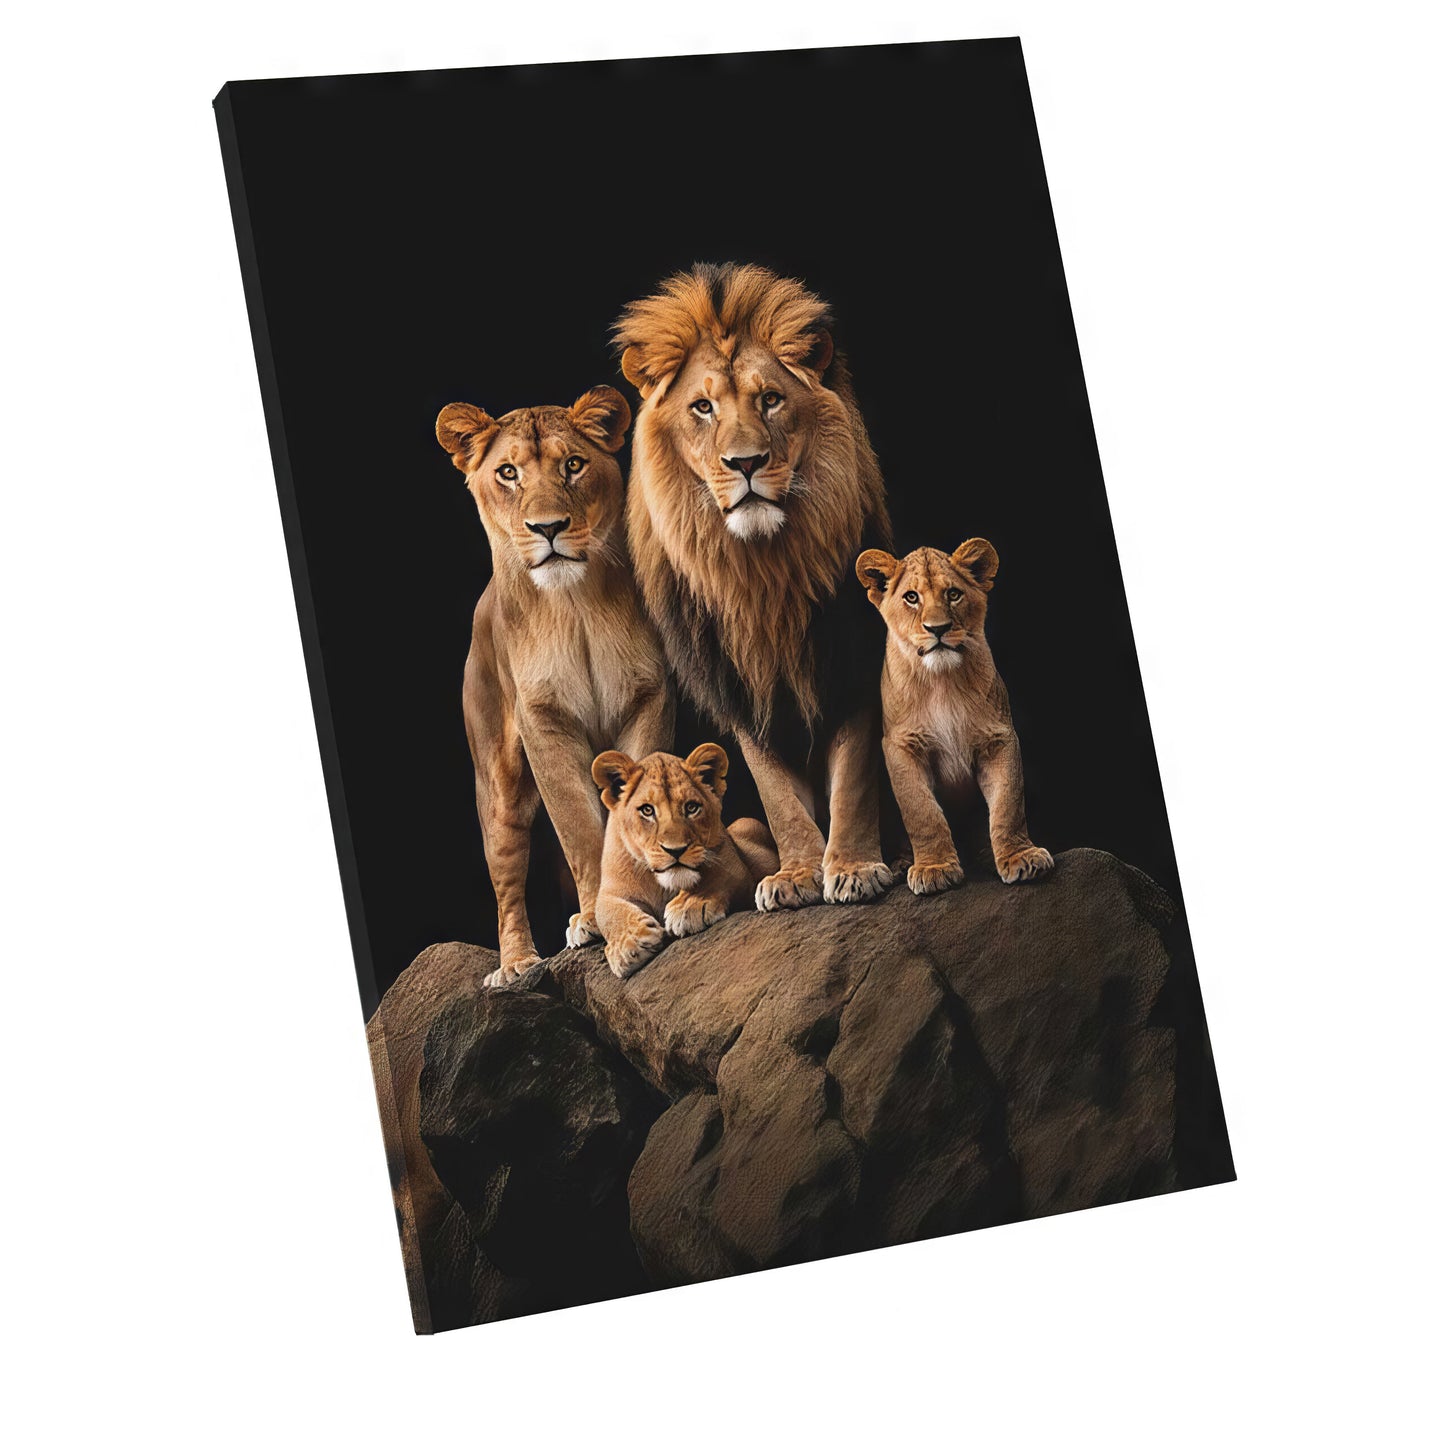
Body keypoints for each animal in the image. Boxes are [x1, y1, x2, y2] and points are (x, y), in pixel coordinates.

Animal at [436, 387, 674, 986]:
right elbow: (578, 826)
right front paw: (594, 919)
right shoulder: (545, 721)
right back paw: (517, 965)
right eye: (508, 472)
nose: (548, 527)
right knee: (506, 884)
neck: (575, 604)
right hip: (497, 790)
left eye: (573, 465)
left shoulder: (648, 698)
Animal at [590, 744, 778, 978]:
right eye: (647, 810)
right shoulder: (611, 889)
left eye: (691, 807)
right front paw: (631, 943)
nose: (676, 850)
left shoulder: (732, 863)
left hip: (746, 822)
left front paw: (689, 906)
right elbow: (607, 912)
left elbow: (718, 877)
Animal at [614, 263, 894, 915]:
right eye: (702, 407)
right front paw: (796, 874)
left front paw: (853, 867)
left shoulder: (848, 664)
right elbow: (776, 795)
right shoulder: (741, 684)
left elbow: (853, 780)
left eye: (770, 399)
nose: (745, 463)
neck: (761, 576)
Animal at [855, 538, 1053, 894]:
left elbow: (1008, 804)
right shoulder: (901, 746)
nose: (939, 629)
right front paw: (934, 868)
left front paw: (1019, 856)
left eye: (953, 594)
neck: (942, 682)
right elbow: (922, 812)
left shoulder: (999, 738)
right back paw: (903, 863)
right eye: (911, 597)